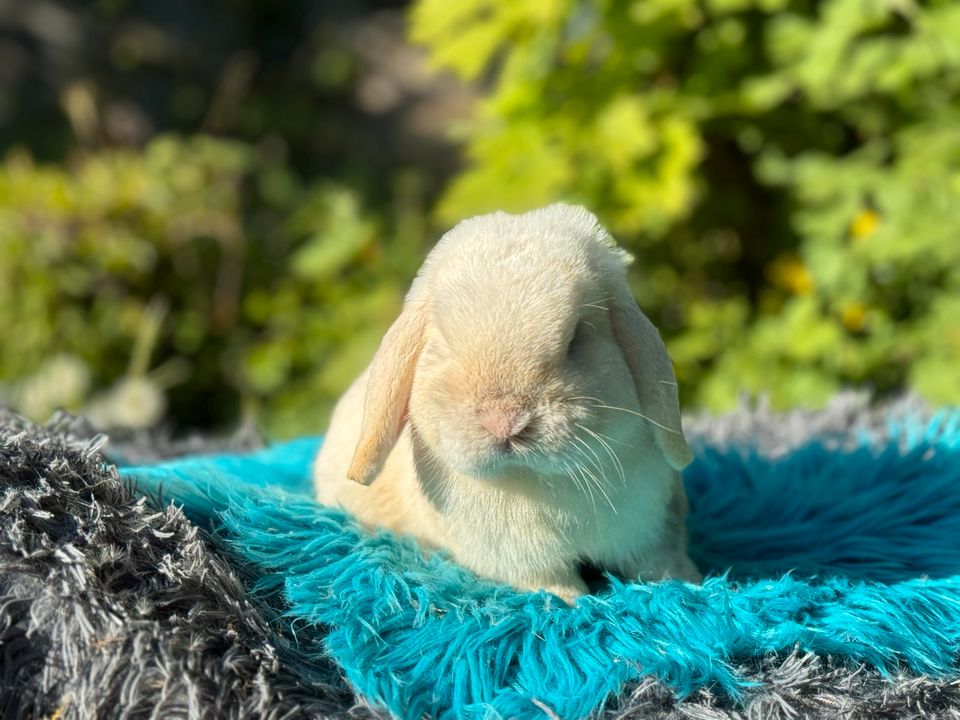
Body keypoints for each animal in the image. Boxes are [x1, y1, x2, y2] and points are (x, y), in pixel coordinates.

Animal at [314, 202, 696, 600]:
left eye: (577, 337)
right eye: (444, 344)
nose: (505, 421)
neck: (535, 480)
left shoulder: (651, 527)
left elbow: (660, 563)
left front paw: (690, 581)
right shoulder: (518, 559)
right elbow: (552, 583)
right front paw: (572, 600)